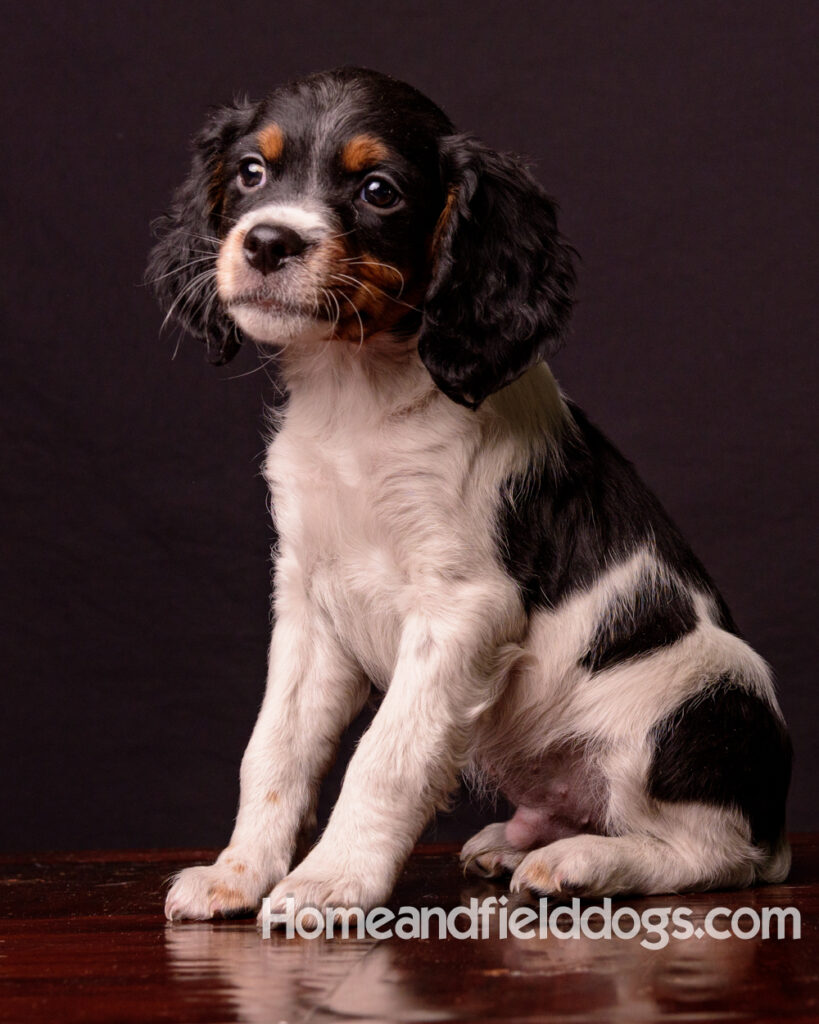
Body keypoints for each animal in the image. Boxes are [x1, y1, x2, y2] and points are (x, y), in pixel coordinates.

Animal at [150, 68, 790, 925]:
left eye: (379, 191)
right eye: (252, 172)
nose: (266, 241)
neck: (358, 397)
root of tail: (776, 823)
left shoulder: (460, 609)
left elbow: (386, 756)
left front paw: (331, 880)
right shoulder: (309, 603)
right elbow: (275, 749)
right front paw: (240, 872)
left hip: (693, 691)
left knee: (712, 854)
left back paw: (580, 861)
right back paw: (518, 843)